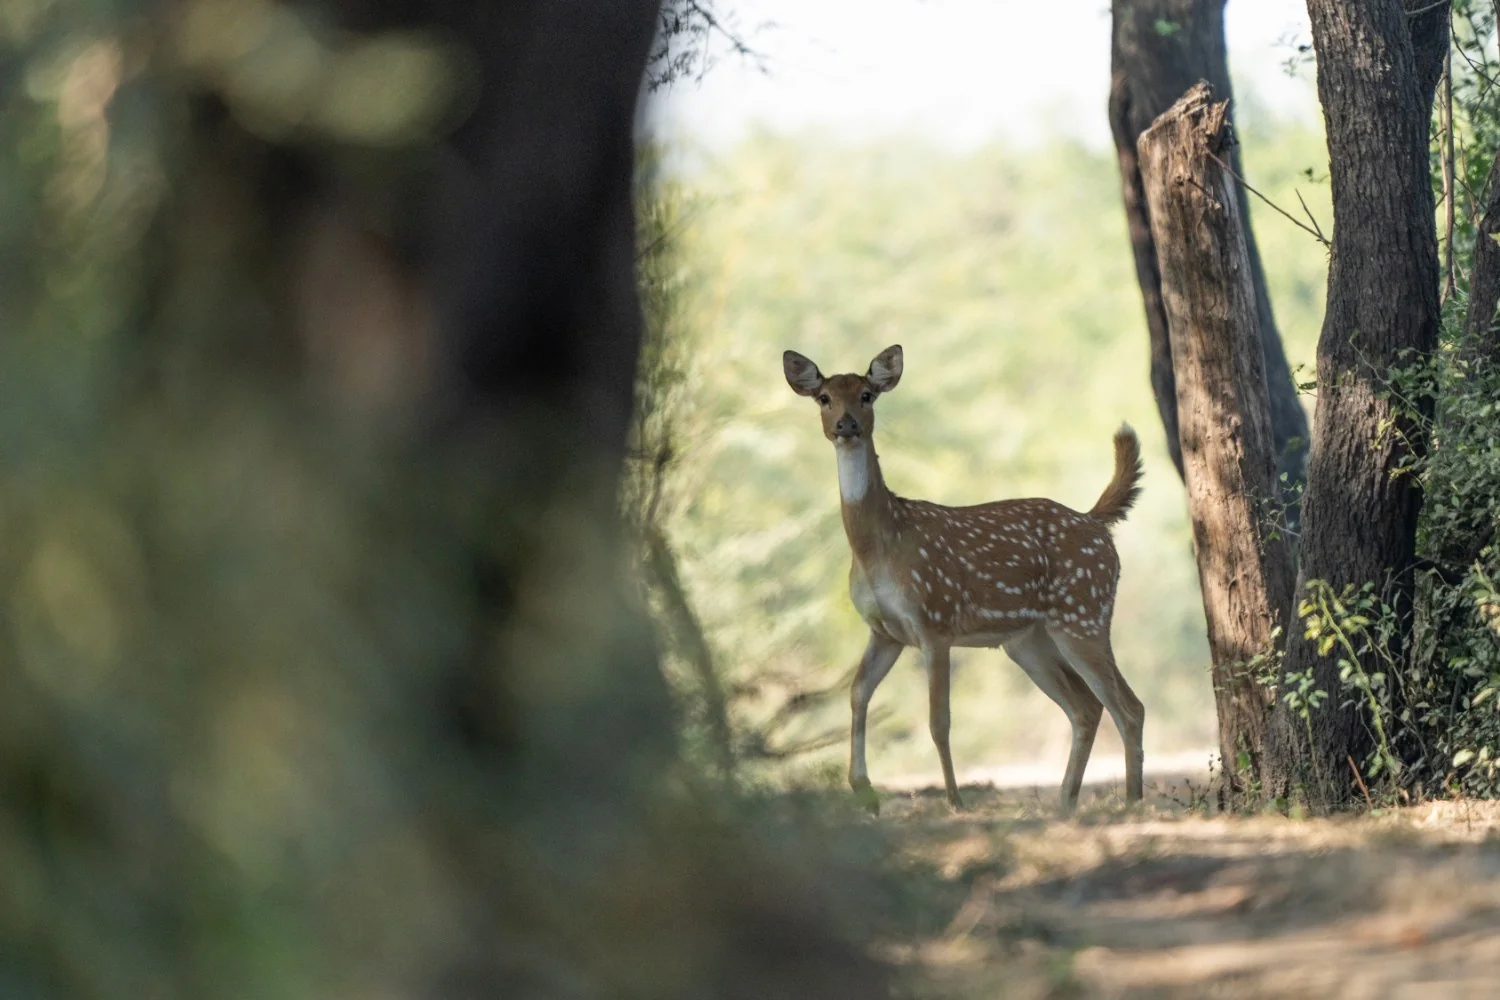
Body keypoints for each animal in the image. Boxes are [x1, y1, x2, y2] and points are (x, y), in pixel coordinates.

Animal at [783, 344, 1146, 814]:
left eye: (867, 395)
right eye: (824, 397)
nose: (846, 425)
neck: (879, 546)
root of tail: (1095, 521)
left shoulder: (935, 620)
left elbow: (939, 720)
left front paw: (955, 800)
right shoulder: (885, 631)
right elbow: (858, 693)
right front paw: (864, 792)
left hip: (1083, 613)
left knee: (1128, 706)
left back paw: (1132, 802)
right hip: (1029, 639)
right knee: (1086, 707)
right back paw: (1065, 802)